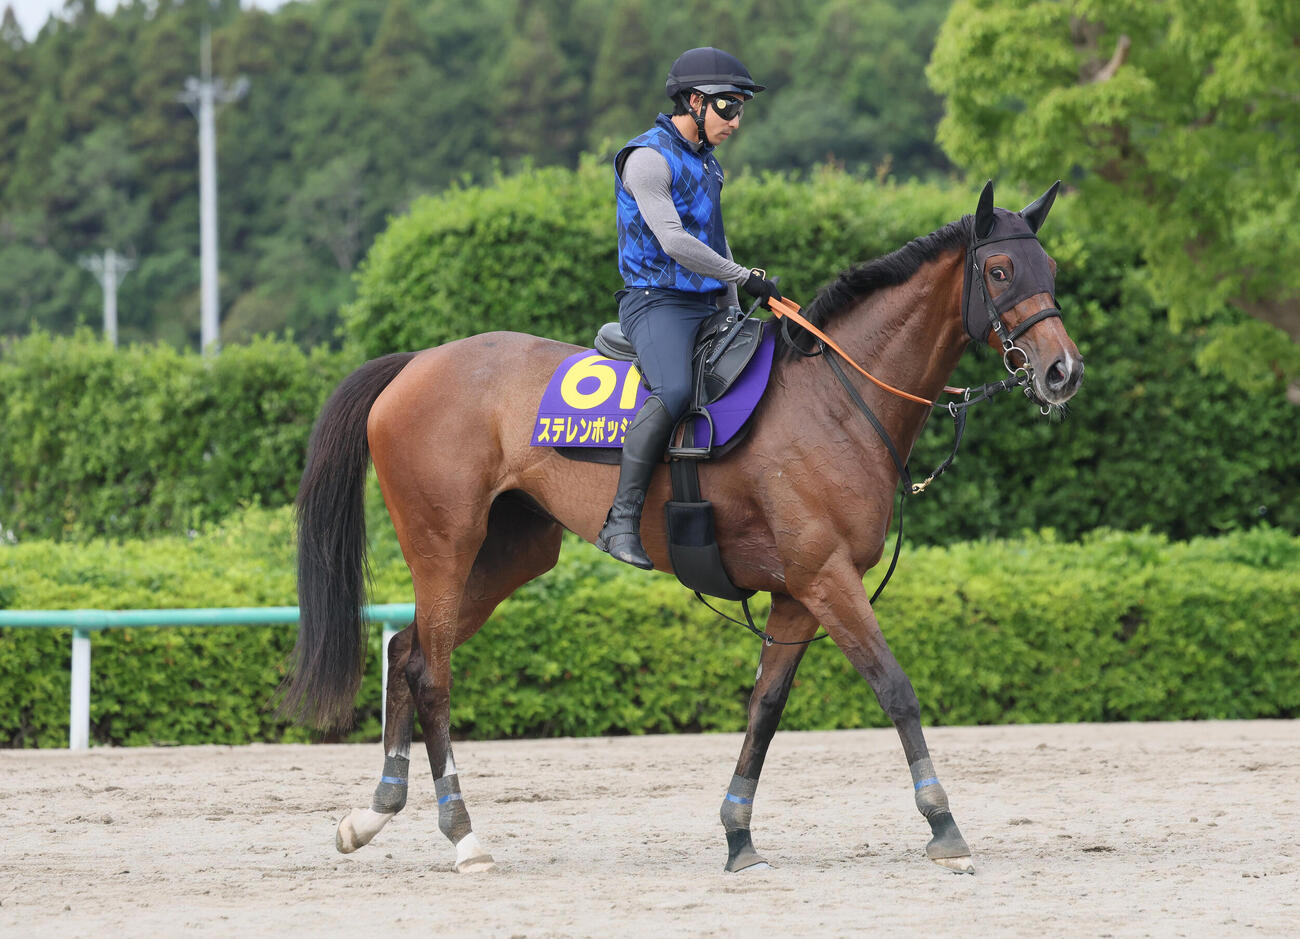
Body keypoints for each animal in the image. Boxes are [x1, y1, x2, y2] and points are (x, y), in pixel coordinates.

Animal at [282, 181, 1084, 875]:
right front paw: (943, 824)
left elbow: (765, 710)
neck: (837, 397)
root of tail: (415, 363)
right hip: (444, 546)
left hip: (511, 553)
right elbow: (896, 689)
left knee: (406, 650)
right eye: (1001, 269)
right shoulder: (829, 578)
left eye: (1048, 268)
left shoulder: (797, 593)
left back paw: (375, 811)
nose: (1061, 372)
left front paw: (738, 834)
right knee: (433, 671)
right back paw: (463, 833)